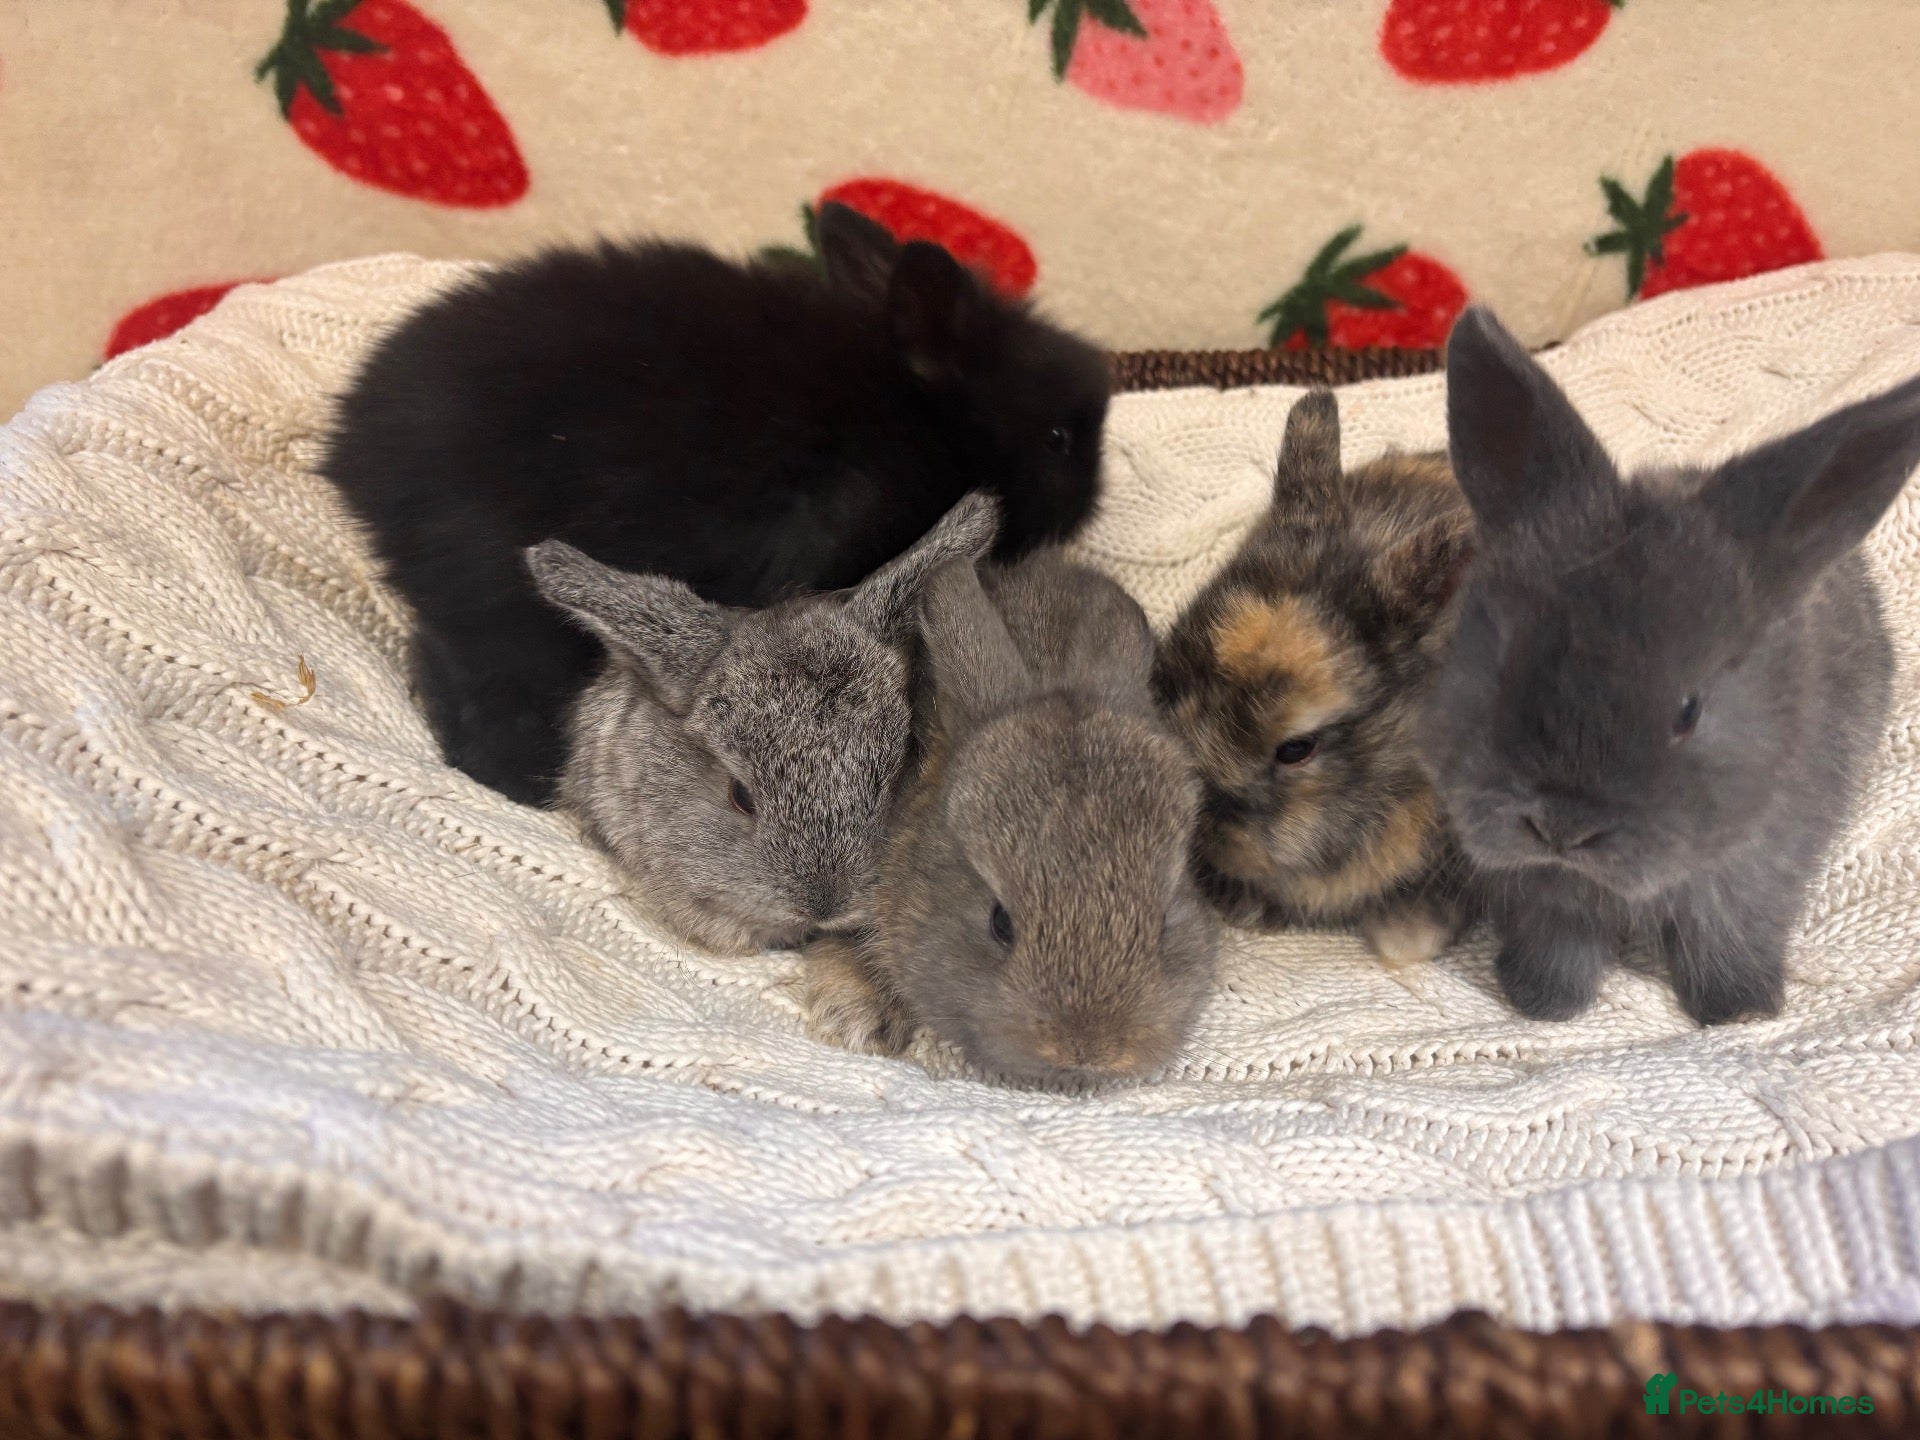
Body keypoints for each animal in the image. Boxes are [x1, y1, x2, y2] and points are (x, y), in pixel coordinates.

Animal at [1424, 303, 1920, 1025]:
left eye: (1689, 711)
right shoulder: (1539, 893)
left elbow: (1723, 933)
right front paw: (1543, 1002)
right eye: (1501, 669)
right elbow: (1560, 940)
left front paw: (1739, 1011)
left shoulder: (1750, 869)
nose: (1561, 827)